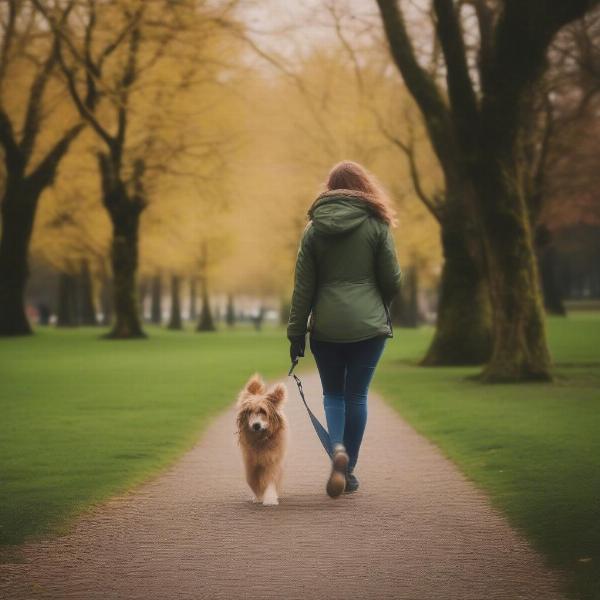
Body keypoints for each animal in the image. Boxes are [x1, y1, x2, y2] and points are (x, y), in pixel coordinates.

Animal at [237, 376, 288, 506]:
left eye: (263, 411)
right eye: (249, 411)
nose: (256, 425)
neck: (260, 440)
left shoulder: (272, 459)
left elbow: (270, 479)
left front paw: (269, 498)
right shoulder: (250, 463)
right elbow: (252, 480)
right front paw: (258, 496)